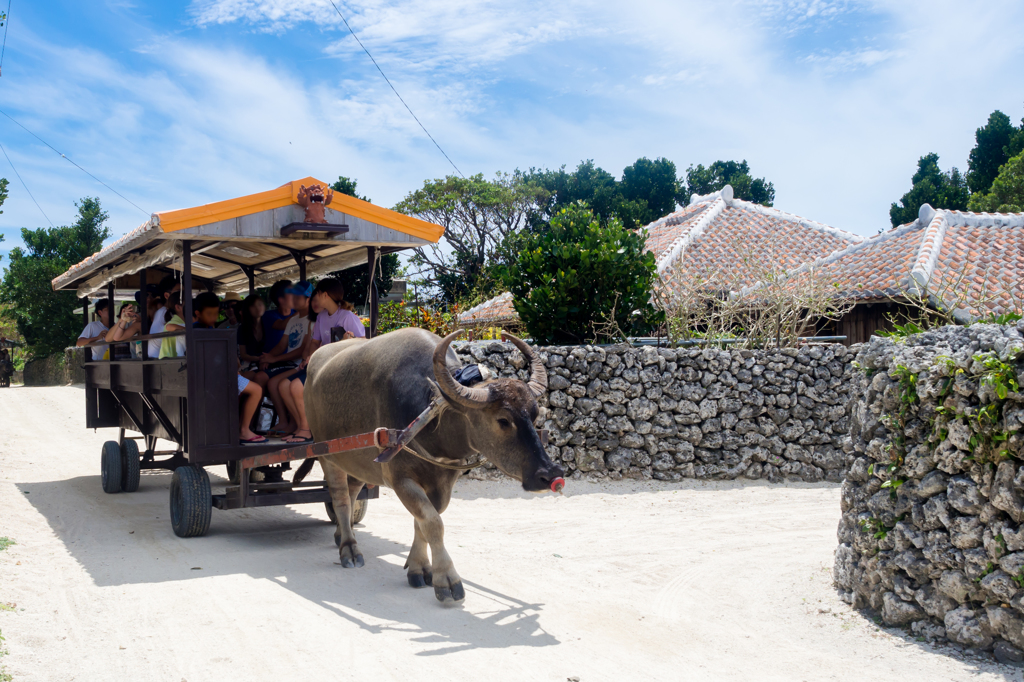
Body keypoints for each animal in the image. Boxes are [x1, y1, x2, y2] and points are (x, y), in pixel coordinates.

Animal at [303, 327, 565, 602]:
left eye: (534, 414)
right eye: (503, 420)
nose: (551, 474)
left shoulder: (444, 481)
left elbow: (423, 521)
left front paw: (419, 567)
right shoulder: (400, 479)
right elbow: (432, 523)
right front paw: (446, 579)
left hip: (355, 461)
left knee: (353, 491)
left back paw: (341, 534)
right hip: (327, 455)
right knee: (340, 499)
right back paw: (349, 549)